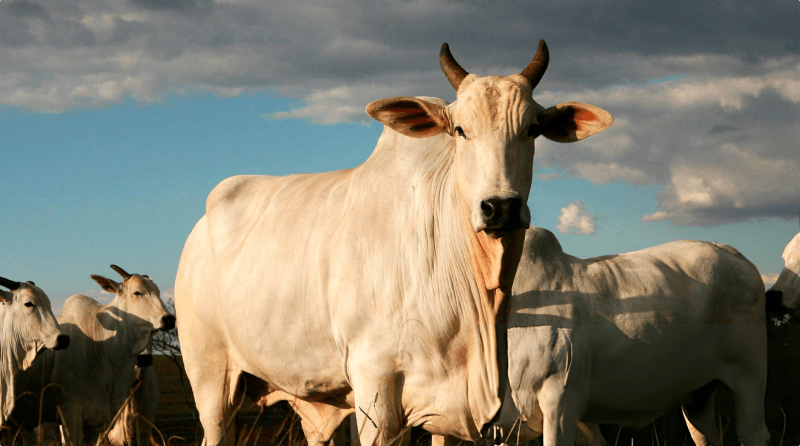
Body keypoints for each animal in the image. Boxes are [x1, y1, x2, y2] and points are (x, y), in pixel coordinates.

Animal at [175, 40, 613, 446]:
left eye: (532, 130)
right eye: (460, 130)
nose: (500, 207)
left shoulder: (453, 412)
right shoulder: (375, 387)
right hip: (210, 378)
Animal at [488, 227, 769, 446]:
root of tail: (732, 253)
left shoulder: (561, 399)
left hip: (750, 377)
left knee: (753, 433)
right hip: (699, 393)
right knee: (706, 437)